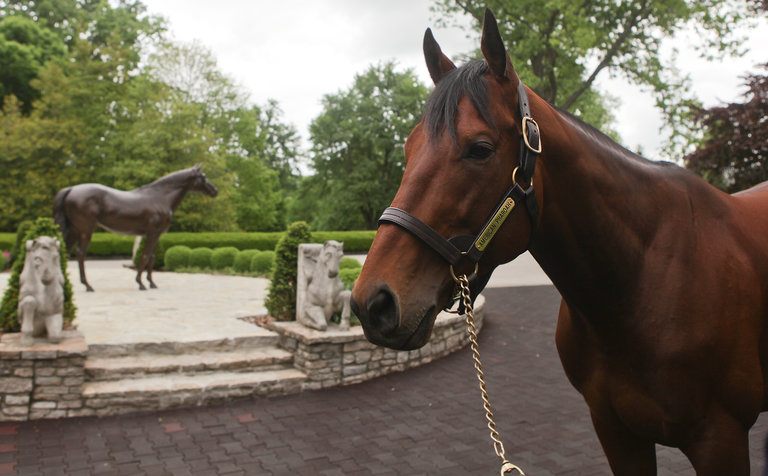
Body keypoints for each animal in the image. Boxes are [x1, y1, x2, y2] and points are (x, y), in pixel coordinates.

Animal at [53, 165, 216, 292]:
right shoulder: (152, 233)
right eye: (203, 177)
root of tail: (71, 189)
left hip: (74, 230)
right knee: (80, 254)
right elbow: (145, 256)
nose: (215, 191)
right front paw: (141, 283)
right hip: (85, 231)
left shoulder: (156, 235)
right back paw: (88, 285)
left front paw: (152, 283)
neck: (160, 197)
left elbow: (151, 257)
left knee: (65, 251)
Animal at [352, 9, 768, 474]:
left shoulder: (721, 440)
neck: (643, 281)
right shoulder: (616, 432)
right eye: (409, 147)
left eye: (480, 149)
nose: (373, 303)